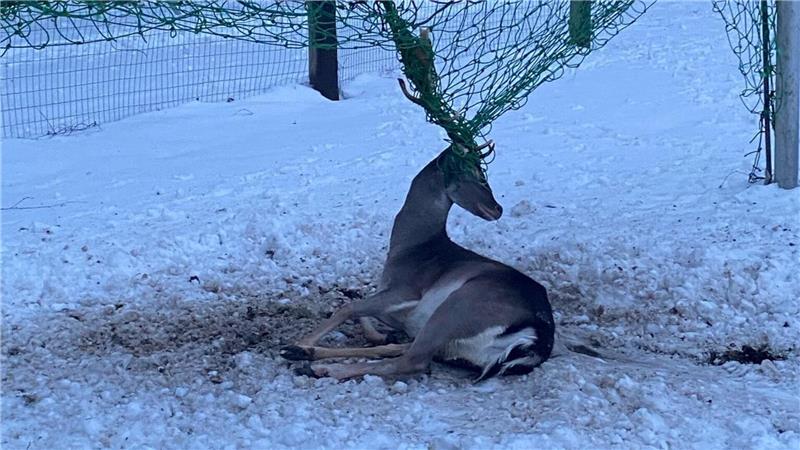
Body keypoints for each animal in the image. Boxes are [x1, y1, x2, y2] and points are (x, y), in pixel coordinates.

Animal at [280, 140, 556, 382]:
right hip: (453, 341)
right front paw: (377, 335)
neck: (410, 248)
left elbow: (349, 307)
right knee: (406, 350)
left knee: (413, 360)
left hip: (459, 307)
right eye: (475, 173)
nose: (498, 208)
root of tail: (537, 340)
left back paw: (315, 364)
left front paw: (301, 340)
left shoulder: (408, 290)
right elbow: (361, 309)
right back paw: (304, 355)